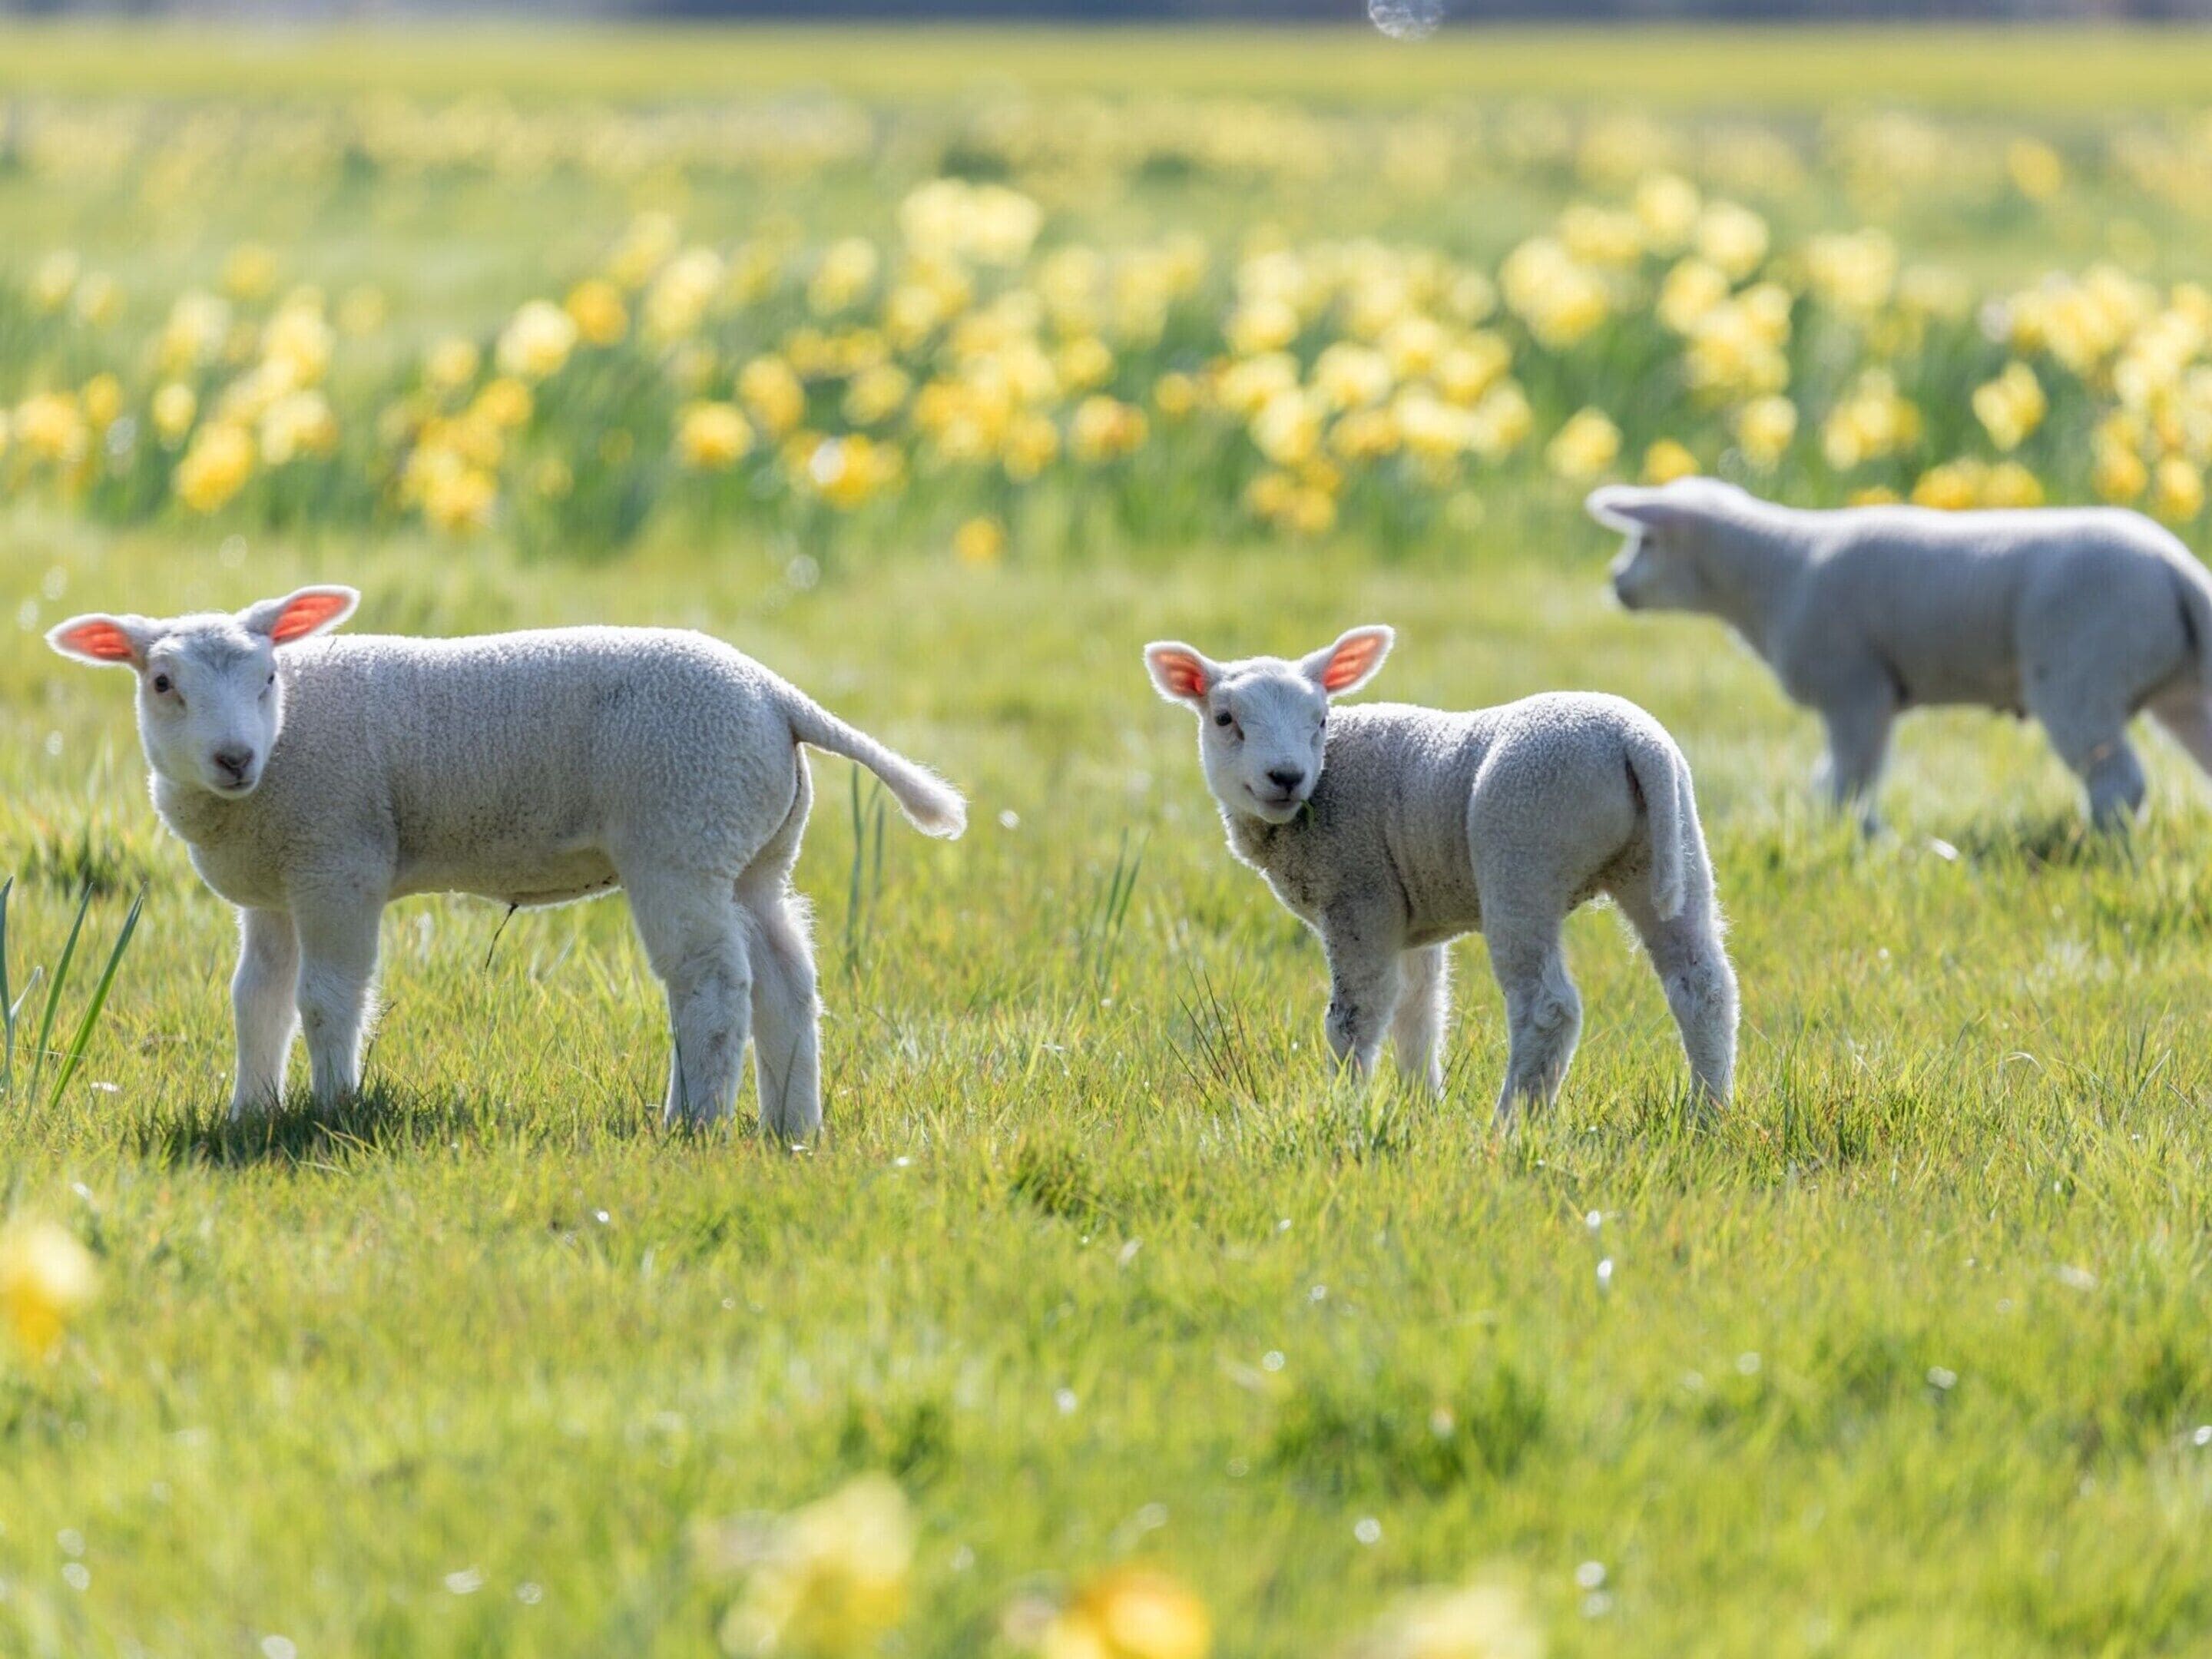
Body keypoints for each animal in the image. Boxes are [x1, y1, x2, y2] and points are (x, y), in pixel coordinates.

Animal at [46, 587, 965, 1136]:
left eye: (270, 676)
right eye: (162, 684)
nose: (234, 758)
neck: (280, 756)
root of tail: (779, 697)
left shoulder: (338, 859)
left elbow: (326, 1000)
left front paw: (333, 1107)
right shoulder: (272, 886)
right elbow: (256, 1003)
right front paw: (251, 1112)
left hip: (682, 828)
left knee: (712, 983)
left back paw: (695, 1124)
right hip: (752, 846)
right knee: (786, 978)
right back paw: (791, 1129)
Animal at [1144, 626, 1737, 1125]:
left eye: (1321, 719)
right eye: (1224, 719)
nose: (1286, 776)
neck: (1323, 785)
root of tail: (1634, 744)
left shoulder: (1360, 895)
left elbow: (1355, 1016)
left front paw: (1344, 1107)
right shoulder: (1410, 918)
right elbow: (1419, 1013)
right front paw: (1421, 1108)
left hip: (1522, 853)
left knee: (1547, 1007)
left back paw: (1510, 1124)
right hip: (1671, 847)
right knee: (1702, 986)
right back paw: (1706, 1115)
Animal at [1587, 476, 2212, 831]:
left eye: (1645, 542)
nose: (1615, 582)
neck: (1774, 571)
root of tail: (2175, 565)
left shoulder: (1855, 690)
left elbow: (1849, 778)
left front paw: (1848, 835)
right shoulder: (1866, 697)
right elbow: (1839, 777)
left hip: (2079, 674)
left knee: (2118, 781)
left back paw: (2102, 845)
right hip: (2180, 689)